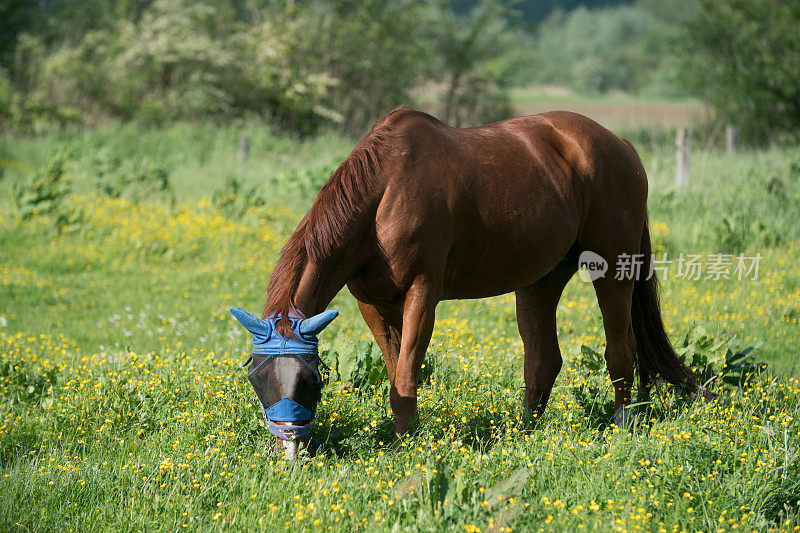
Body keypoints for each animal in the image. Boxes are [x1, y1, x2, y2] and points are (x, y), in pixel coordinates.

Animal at [230, 109, 700, 458]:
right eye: (256, 377)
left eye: (311, 377)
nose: (291, 449)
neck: (387, 188)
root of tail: (620, 145)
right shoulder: (373, 303)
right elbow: (396, 369)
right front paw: (405, 435)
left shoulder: (423, 294)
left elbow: (406, 377)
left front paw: (404, 447)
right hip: (540, 280)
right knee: (543, 360)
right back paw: (523, 433)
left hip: (613, 268)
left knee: (621, 352)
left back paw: (623, 425)